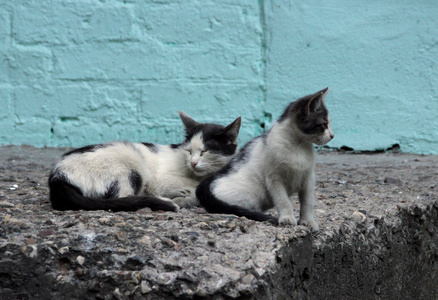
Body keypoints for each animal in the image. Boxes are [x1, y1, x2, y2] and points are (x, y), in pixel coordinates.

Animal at [49, 111, 241, 212]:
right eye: (189, 151)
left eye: (204, 151)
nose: (193, 163)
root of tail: (57, 175)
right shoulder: (159, 180)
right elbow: (192, 187)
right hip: (129, 164)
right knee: (122, 198)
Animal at [197, 86, 334, 232]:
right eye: (324, 125)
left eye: (329, 124)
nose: (332, 135)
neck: (298, 146)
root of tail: (207, 182)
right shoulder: (273, 177)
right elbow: (282, 200)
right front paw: (287, 218)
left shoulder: (308, 177)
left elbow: (308, 202)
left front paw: (307, 221)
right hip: (249, 195)